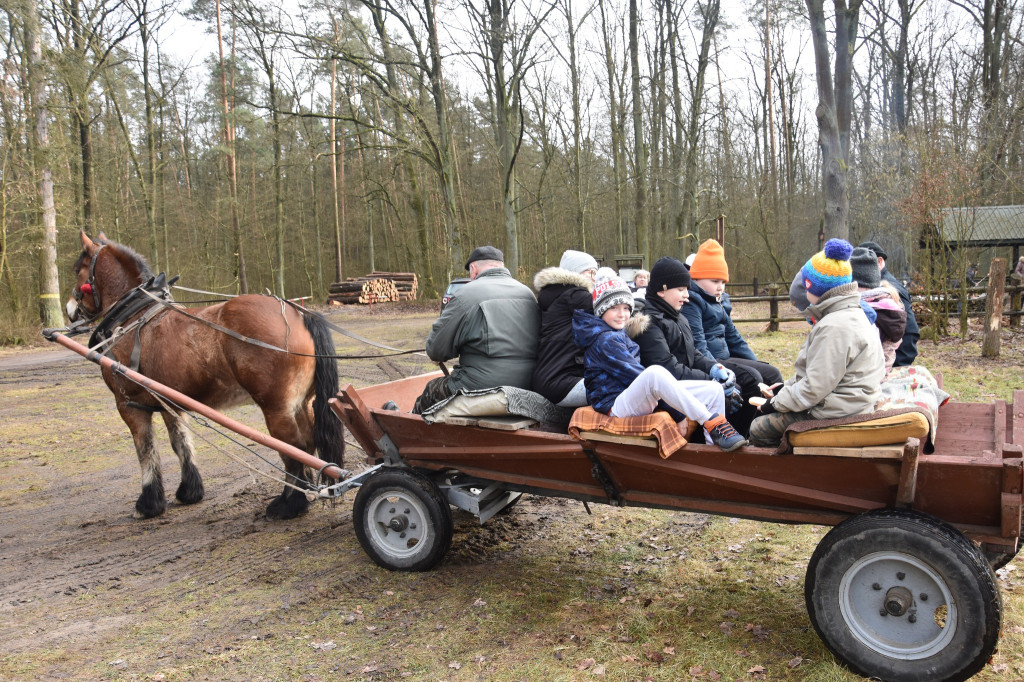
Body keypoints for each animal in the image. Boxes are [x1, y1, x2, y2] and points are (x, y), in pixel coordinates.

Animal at [69, 231, 348, 518]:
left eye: (77, 270)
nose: (70, 310)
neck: (133, 317)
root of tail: (297, 313)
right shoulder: (170, 403)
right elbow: (180, 443)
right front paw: (189, 491)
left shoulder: (128, 405)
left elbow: (145, 449)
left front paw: (148, 503)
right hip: (301, 403)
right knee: (309, 443)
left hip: (277, 409)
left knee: (294, 448)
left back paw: (289, 503)